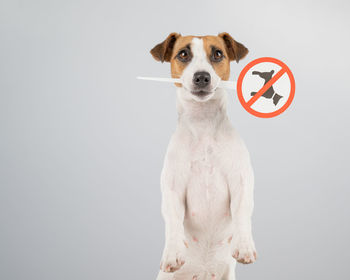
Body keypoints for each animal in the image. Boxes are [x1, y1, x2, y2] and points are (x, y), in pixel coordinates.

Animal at [150, 33, 258, 280]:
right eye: (183, 54)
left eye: (217, 53)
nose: (202, 77)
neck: (203, 124)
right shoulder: (173, 189)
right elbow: (173, 222)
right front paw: (172, 253)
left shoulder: (241, 182)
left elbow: (242, 214)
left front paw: (244, 246)